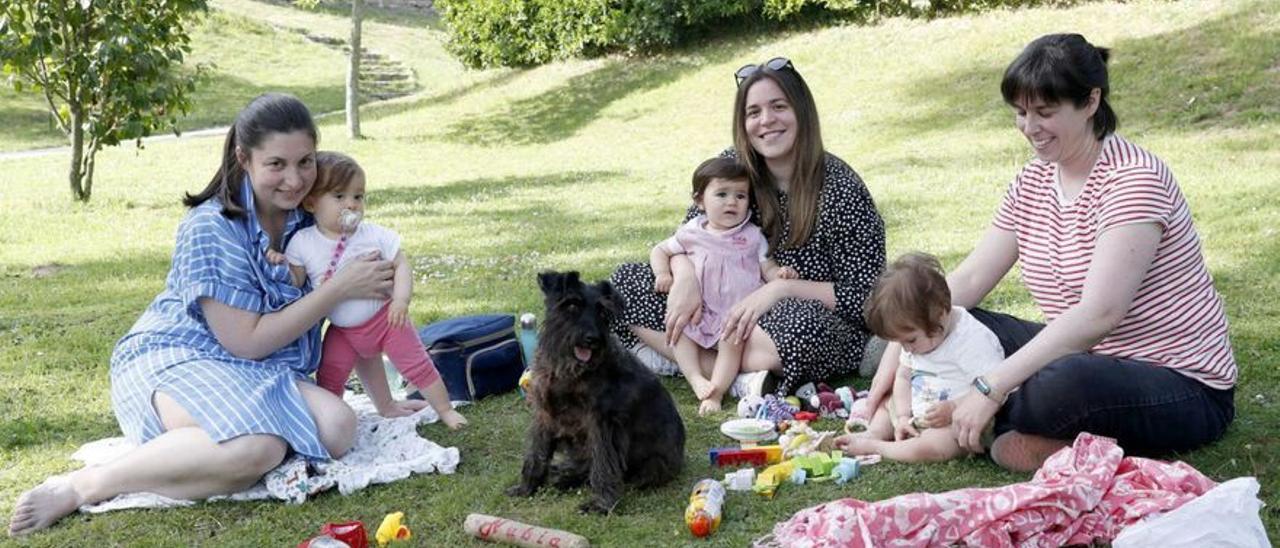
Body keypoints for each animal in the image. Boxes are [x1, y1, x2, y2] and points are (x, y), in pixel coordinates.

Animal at [506, 270, 691, 514]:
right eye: (571, 305)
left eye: (602, 312)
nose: (592, 339)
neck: (569, 372)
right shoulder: (545, 415)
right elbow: (536, 453)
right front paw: (525, 488)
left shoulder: (603, 424)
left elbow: (603, 464)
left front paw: (601, 504)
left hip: (652, 466)